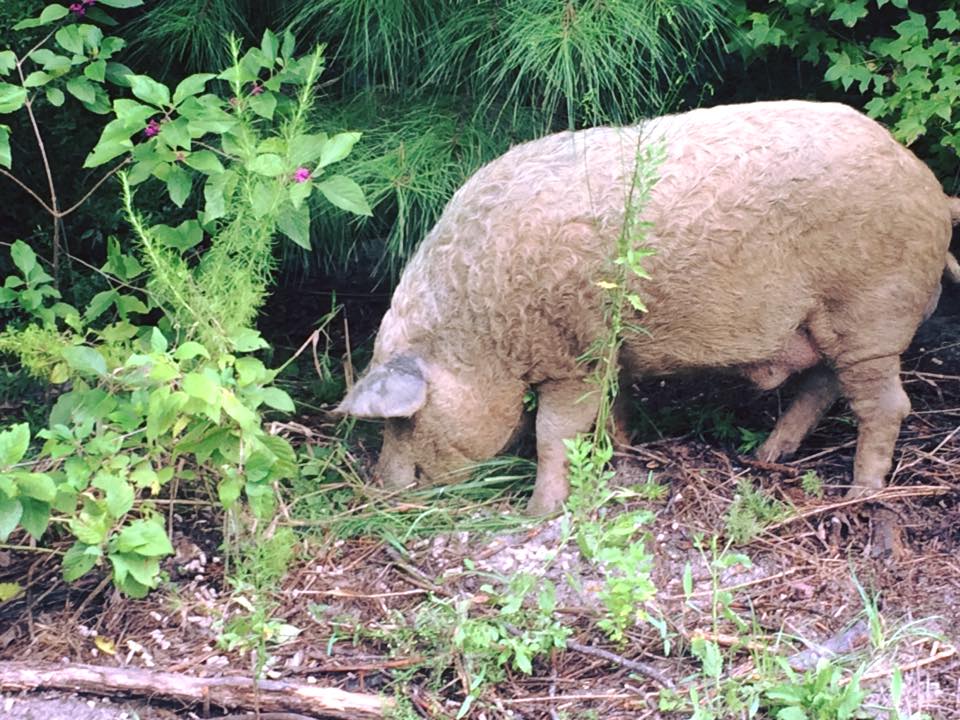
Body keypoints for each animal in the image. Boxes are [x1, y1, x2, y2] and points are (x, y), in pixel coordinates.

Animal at [338, 102, 960, 516]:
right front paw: (623, 453)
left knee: (886, 405)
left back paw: (861, 494)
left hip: (872, 309)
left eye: (401, 420)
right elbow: (611, 409)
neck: (481, 328)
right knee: (823, 384)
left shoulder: (577, 354)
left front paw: (538, 514)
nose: (380, 490)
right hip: (826, 321)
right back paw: (765, 454)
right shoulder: (610, 352)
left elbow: (552, 432)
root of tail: (929, 184)